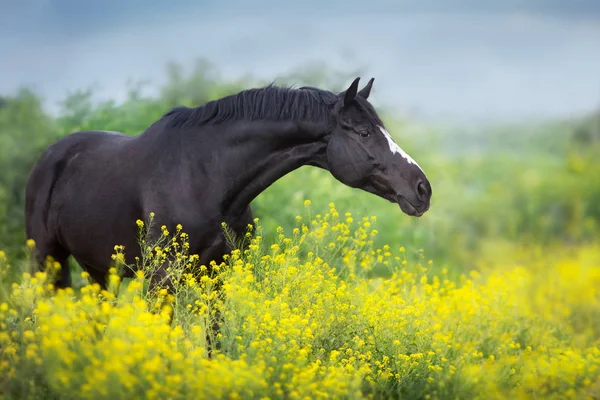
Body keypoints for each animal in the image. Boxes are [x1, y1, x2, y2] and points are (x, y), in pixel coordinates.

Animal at [25, 77, 434, 290]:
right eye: (364, 132)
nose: (422, 189)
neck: (205, 178)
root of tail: (50, 156)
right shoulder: (161, 280)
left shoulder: (216, 277)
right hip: (47, 260)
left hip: (97, 271)